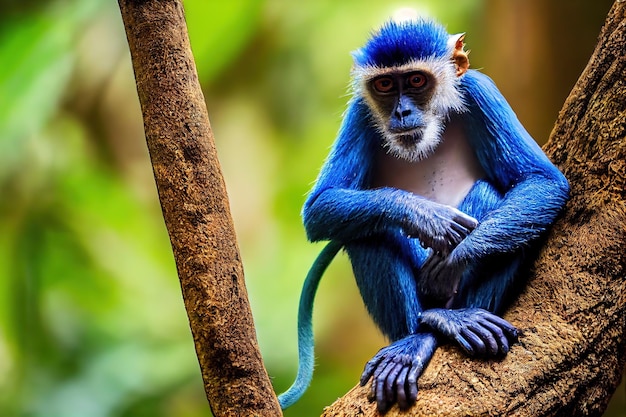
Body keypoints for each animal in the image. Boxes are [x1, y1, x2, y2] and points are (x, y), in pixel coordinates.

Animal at [276, 14, 568, 412]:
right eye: (385, 84)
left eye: (416, 80)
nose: (401, 111)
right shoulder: (360, 112)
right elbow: (319, 206)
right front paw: (424, 216)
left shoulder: (480, 91)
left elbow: (543, 182)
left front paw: (454, 258)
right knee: (369, 233)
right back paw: (418, 336)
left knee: (502, 205)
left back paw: (457, 318)